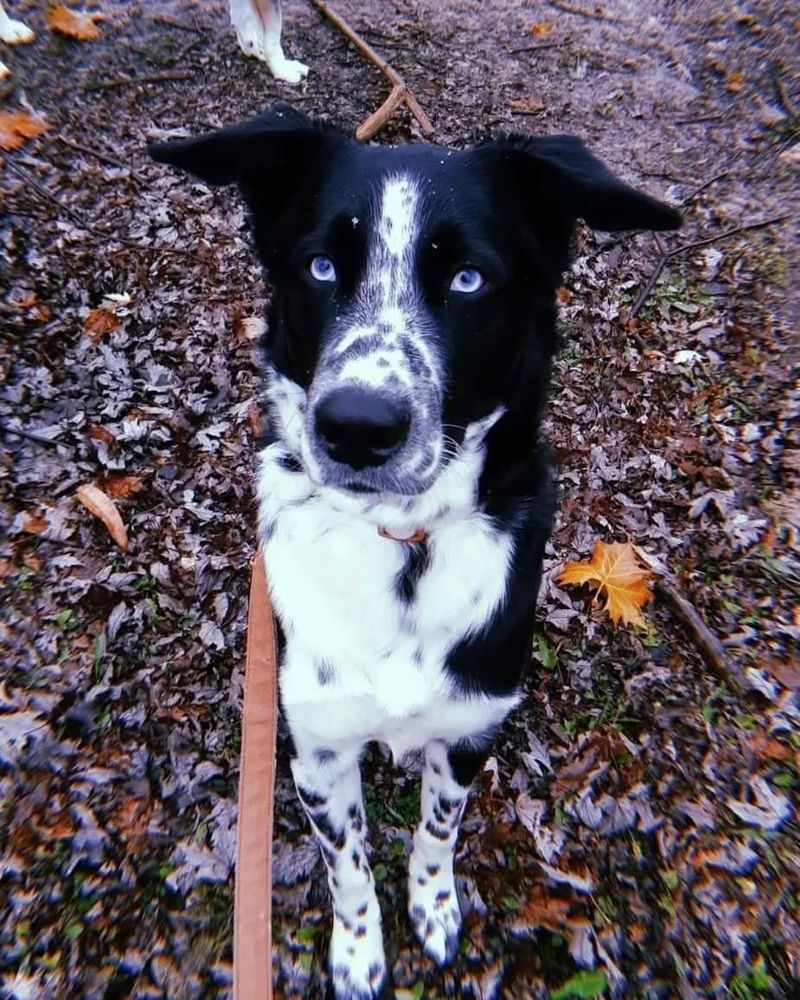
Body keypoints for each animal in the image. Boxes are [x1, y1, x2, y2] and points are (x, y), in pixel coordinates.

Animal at [148, 105, 676, 996]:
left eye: (467, 279)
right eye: (322, 265)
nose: (357, 427)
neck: (402, 542)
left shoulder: (469, 729)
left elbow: (438, 829)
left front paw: (432, 907)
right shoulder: (319, 747)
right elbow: (348, 863)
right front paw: (359, 951)